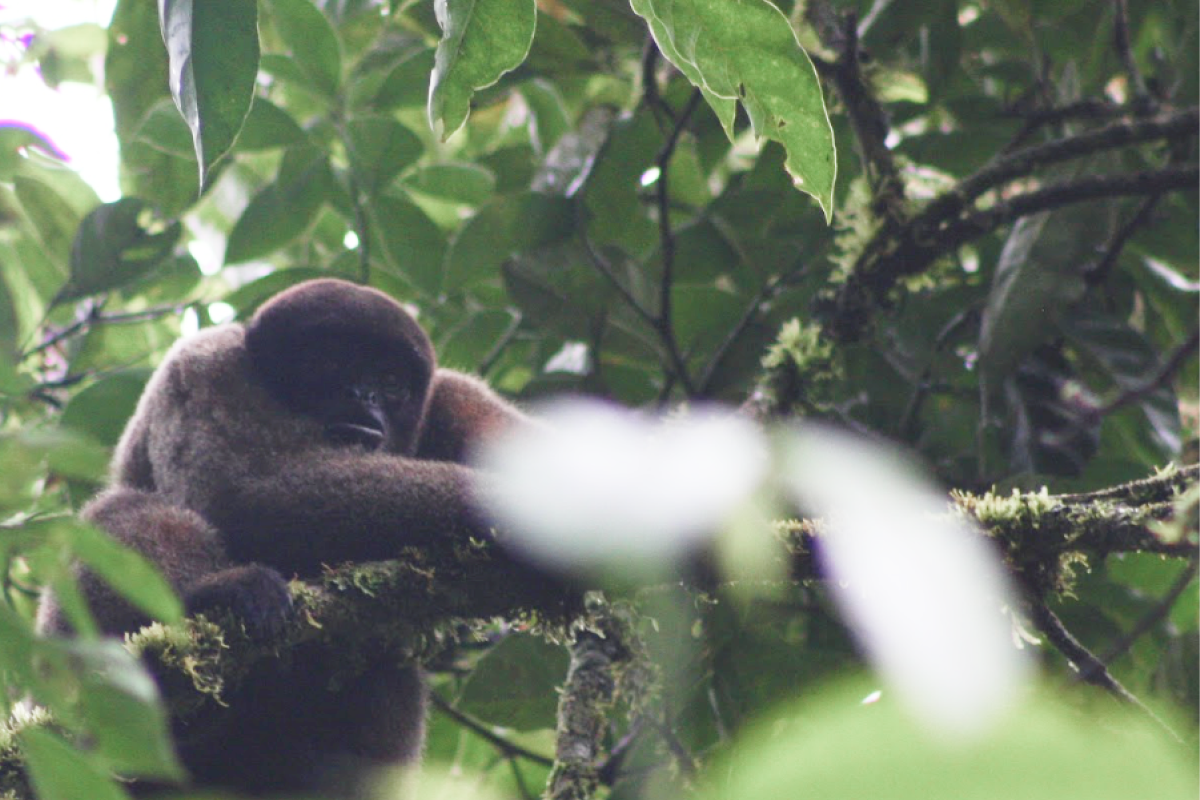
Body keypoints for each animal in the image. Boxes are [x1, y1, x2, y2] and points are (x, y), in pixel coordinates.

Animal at [36, 278, 533, 798]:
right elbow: (240, 493)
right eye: (332, 363)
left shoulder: (455, 398)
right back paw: (213, 600)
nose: (365, 394)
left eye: (391, 381)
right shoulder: (207, 366)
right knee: (117, 514)